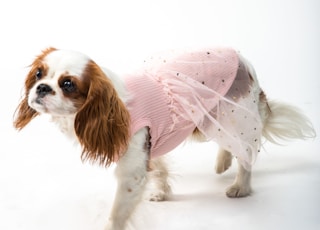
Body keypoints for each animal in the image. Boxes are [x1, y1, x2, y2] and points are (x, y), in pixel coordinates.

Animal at [13, 47, 316, 230]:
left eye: (67, 84)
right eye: (38, 74)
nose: (41, 88)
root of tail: (244, 61)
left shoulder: (131, 170)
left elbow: (118, 211)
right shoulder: (149, 144)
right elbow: (159, 168)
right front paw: (162, 192)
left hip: (232, 113)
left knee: (246, 152)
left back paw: (240, 186)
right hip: (210, 118)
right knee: (231, 144)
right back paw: (223, 163)